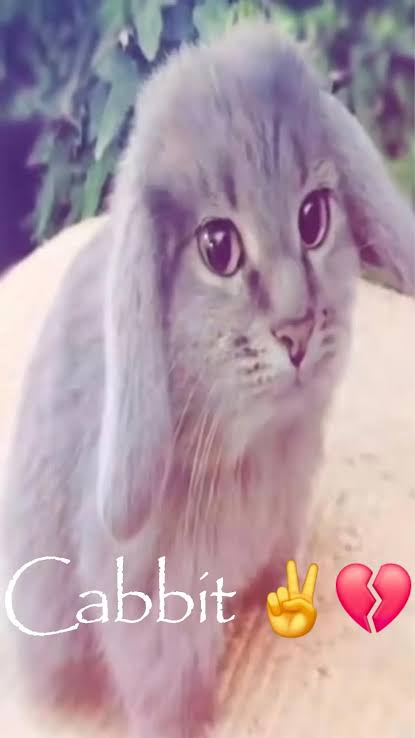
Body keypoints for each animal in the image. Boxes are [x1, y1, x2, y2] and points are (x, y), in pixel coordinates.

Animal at [2, 20, 414, 738]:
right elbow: (170, 690)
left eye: (314, 217)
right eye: (217, 247)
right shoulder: (154, 610)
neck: (255, 445)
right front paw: (189, 724)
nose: (297, 329)